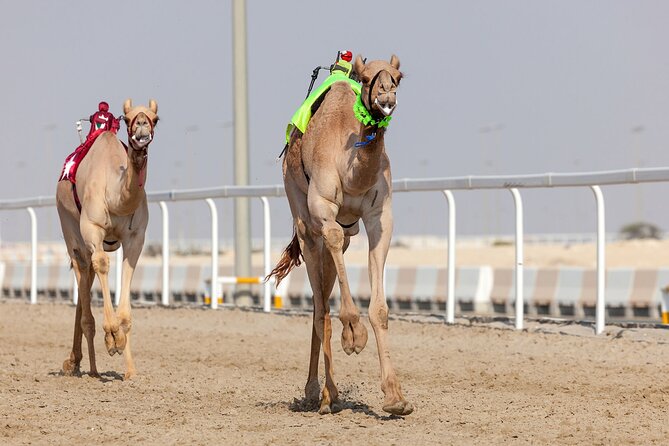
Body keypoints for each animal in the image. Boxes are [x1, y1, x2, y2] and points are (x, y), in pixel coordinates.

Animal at [56, 99, 158, 380]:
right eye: (127, 118)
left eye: (156, 118)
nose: (142, 127)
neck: (116, 196)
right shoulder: (92, 229)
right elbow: (103, 265)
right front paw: (111, 337)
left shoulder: (135, 237)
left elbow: (127, 276)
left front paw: (128, 364)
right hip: (72, 232)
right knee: (83, 270)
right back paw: (88, 368)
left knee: (86, 279)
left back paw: (77, 362)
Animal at [269, 55, 413, 415]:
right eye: (366, 77)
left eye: (399, 76)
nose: (386, 98)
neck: (354, 172)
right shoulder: (323, 209)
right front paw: (354, 335)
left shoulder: (379, 218)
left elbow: (380, 310)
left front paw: (395, 397)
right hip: (303, 221)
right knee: (321, 305)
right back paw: (320, 393)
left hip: (345, 234)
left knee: (321, 300)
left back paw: (324, 393)